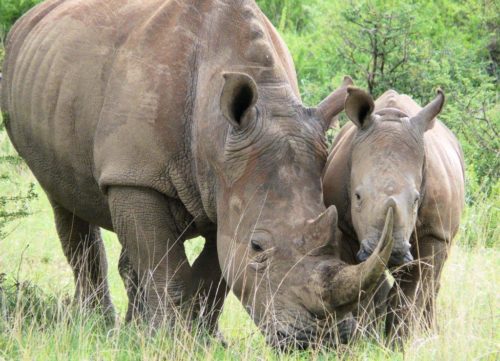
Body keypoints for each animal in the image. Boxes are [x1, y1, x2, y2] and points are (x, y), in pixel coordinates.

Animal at [0, 0, 394, 348]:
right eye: (258, 247)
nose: (323, 340)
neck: (216, 134)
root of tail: (31, 18)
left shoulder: (229, 188)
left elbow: (214, 272)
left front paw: (205, 340)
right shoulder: (137, 175)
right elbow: (166, 268)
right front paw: (167, 339)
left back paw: (131, 328)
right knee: (65, 202)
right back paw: (100, 326)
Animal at [322, 87, 466, 340]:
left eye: (416, 199)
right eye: (357, 197)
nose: (394, 252)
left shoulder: (434, 232)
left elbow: (413, 292)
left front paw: (399, 342)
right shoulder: (344, 230)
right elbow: (360, 285)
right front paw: (364, 339)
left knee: (433, 281)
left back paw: (430, 333)